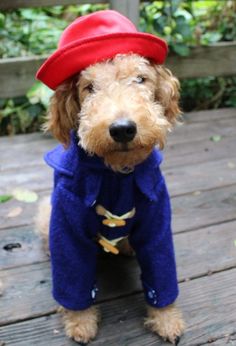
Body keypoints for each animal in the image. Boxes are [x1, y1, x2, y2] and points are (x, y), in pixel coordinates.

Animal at [36, 9, 185, 344]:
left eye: (141, 79)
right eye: (89, 87)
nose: (122, 129)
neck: (117, 173)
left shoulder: (157, 219)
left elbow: (161, 270)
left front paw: (167, 319)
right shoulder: (66, 223)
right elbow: (73, 280)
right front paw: (80, 322)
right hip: (46, 212)